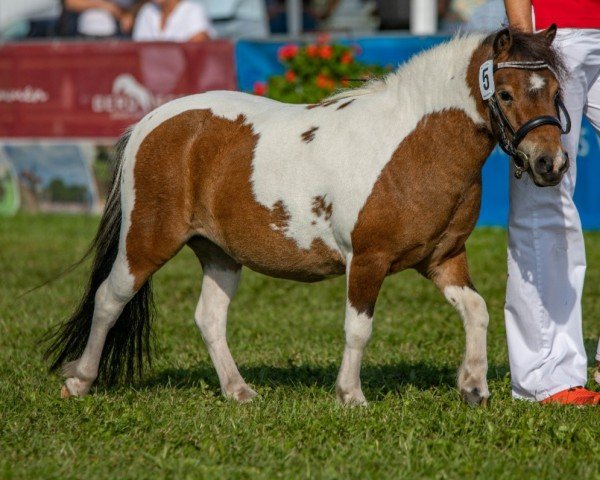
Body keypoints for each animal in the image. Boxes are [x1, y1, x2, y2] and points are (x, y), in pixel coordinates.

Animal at [47, 28, 568, 404]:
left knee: (209, 318)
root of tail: (151, 122)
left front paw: (474, 387)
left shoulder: (443, 258)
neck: (413, 146)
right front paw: (350, 396)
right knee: (109, 298)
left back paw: (238, 392)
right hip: (147, 240)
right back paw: (80, 382)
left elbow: (477, 311)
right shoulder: (367, 260)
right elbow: (359, 328)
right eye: (505, 93)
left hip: (219, 253)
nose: (551, 163)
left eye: (557, 90)